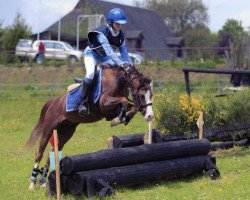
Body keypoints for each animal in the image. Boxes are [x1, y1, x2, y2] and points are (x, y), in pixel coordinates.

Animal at [25, 65, 154, 190]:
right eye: (142, 95)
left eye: (151, 95)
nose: (150, 116)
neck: (118, 80)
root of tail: (53, 102)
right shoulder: (104, 104)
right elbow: (124, 101)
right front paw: (118, 119)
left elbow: (131, 106)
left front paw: (122, 118)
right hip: (48, 130)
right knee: (39, 153)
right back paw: (32, 183)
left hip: (66, 132)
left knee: (52, 151)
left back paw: (43, 180)